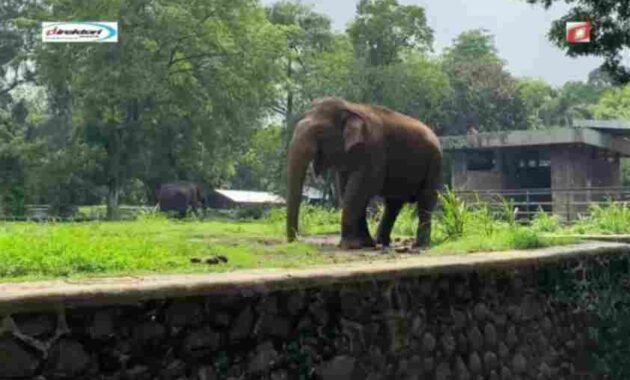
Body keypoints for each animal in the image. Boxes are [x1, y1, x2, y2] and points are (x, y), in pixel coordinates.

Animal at [288, 97, 442, 249]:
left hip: (434, 162)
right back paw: (381, 242)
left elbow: (361, 188)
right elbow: (346, 190)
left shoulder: (374, 150)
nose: (295, 240)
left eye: (319, 132)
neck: (350, 107)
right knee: (393, 203)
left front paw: (351, 245)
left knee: (425, 200)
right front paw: (364, 243)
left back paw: (420, 245)